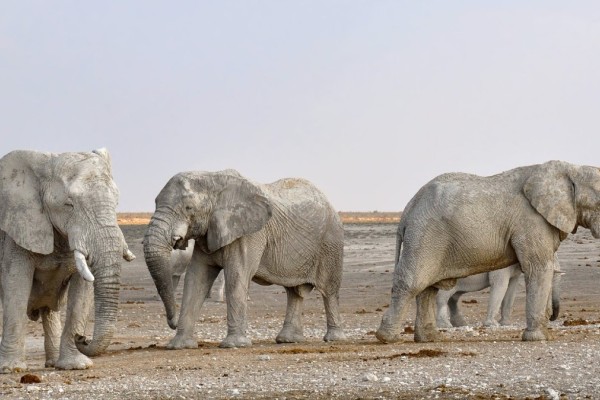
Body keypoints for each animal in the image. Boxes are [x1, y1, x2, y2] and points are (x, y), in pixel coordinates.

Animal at [0, 149, 135, 372]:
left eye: (116, 203)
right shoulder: (17, 229)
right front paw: (11, 369)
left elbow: (81, 293)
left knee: (49, 311)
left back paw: (53, 363)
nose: (83, 338)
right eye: (69, 204)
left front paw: (76, 365)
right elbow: (16, 285)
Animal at [142, 168, 344, 346]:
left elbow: (236, 275)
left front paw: (234, 344)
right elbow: (196, 278)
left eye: (188, 207)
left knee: (329, 290)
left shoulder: (249, 233)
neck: (212, 178)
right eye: (155, 202)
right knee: (294, 292)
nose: (172, 322)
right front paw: (179, 345)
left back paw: (333, 339)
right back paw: (288, 340)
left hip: (331, 241)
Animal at [436, 260, 564, 328]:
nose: (551, 317)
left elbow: (511, 288)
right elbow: (500, 285)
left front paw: (505, 324)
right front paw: (492, 324)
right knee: (443, 297)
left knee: (453, 298)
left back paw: (460, 324)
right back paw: (445, 325)